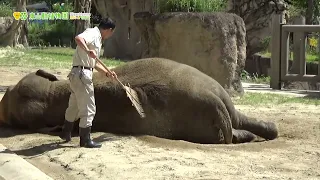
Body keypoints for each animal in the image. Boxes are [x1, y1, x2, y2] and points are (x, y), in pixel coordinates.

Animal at [0, 57, 278, 143]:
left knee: (234, 119)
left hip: (213, 93)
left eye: (16, 88)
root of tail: (215, 102)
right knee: (232, 125)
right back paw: (255, 134)